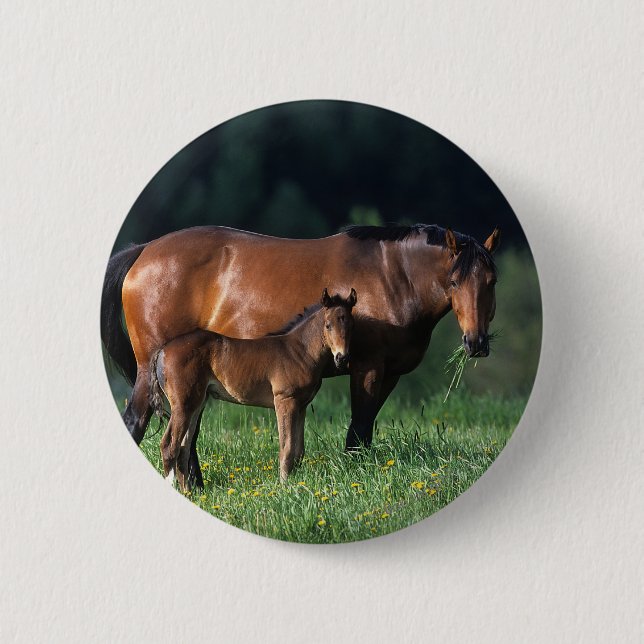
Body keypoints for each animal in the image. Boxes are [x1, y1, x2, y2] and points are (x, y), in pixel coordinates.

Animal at [148, 289, 356, 489]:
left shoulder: (301, 406)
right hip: (182, 405)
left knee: (183, 448)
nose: (342, 358)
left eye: (350, 325)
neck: (300, 350)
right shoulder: (285, 401)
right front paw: (285, 487)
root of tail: (162, 350)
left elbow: (299, 450)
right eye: (328, 325)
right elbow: (287, 448)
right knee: (169, 446)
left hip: (196, 403)